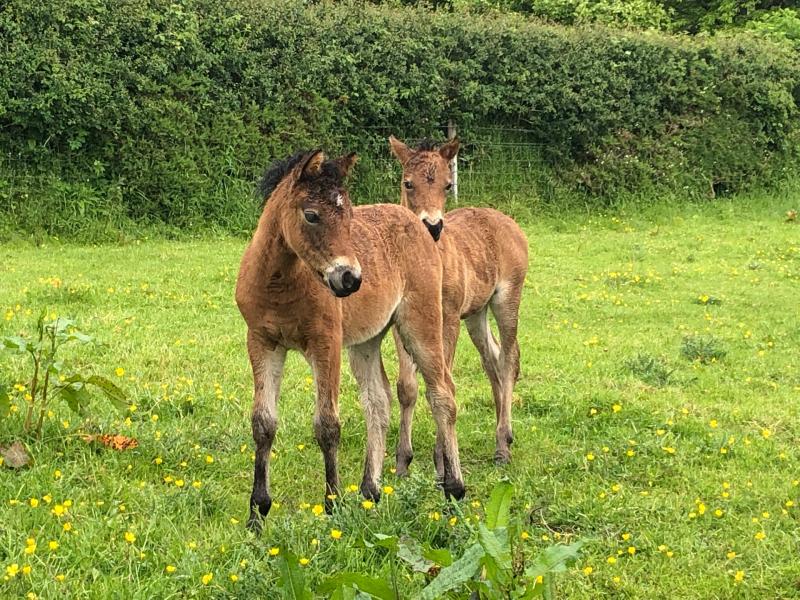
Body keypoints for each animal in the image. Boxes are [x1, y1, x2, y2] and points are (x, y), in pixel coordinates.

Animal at [235, 149, 465, 531]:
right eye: (311, 215)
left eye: (349, 215)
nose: (351, 279)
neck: (279, 283)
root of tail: (417, 222)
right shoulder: (262, 342)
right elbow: (263, 423)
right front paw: (257, 513)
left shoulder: (325, 343)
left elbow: (327, 425)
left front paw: (332, 506)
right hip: (366, 342)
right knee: (378, 400)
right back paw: (370, 491)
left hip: (420, 323)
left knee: (442, 394)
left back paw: (454, 489)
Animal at [387, 136, 529, 470]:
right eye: (408, 183)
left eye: (447, 184)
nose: (432, 225)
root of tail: (509, 223)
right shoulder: (402, 324)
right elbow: (407, 387)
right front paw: (403, 461)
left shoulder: (448, 318)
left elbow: (444, 383)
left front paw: (441, 460)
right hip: (476, 313)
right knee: (491, 358)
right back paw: (503, 435)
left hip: (507, 298)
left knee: (509, 359)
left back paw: (503, 444)